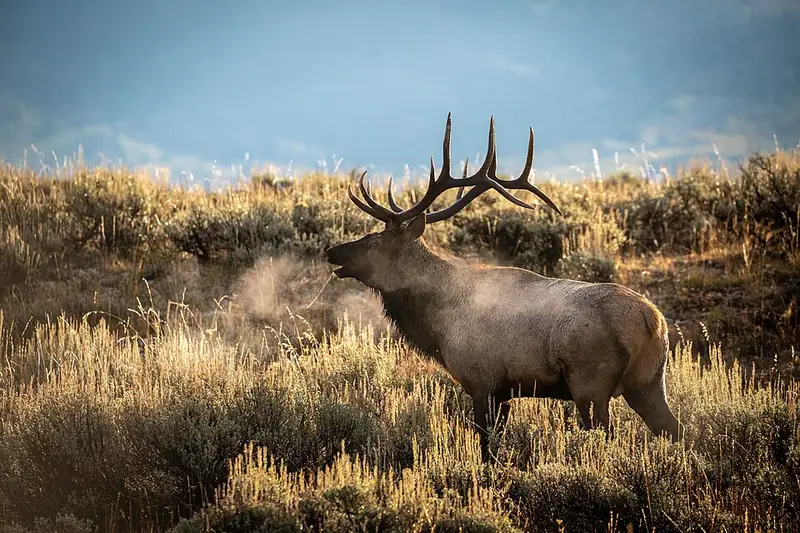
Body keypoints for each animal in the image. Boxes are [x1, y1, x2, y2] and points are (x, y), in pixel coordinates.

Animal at [325, 113, 682, 461]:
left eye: (375, 241)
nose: (331, 251)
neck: (438, 327)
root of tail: (654, 322)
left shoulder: (482, 381)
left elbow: (487, 448)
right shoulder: (505, 392)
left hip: (590, 383)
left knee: (608, 435)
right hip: (649, 381)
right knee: (675, 430)